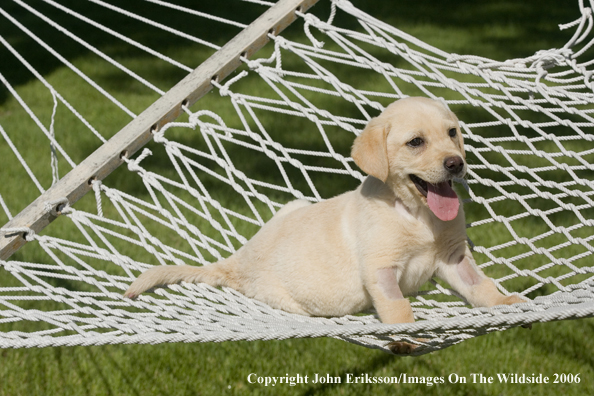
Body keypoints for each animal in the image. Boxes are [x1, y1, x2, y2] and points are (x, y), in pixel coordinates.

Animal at [125, 98, 524, 352]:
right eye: (416, 142)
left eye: (453, 133)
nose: (456, 164)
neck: (418, 214)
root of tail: (237, 260)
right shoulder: (381, 267)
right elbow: (398, 308)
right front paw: (410, 334)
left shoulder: (454, 257)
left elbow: (480, 285)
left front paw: (506, 302)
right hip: (294, 302)